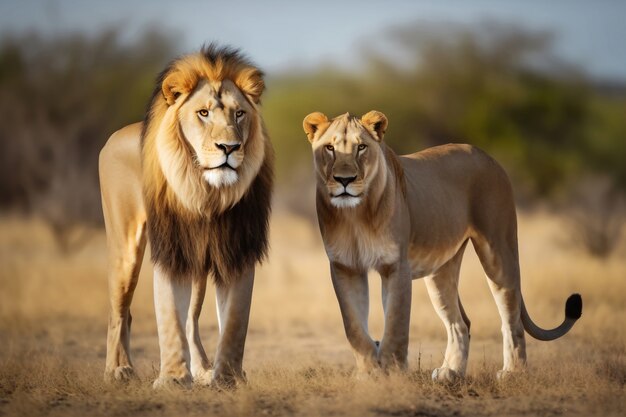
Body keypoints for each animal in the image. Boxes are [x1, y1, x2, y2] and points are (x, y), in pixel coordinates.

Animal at [99, 45, 270, 386]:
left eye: (239, 113)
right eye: (203, 113)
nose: (229, 147)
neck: (208, 193)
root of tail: (113, 137)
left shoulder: (236, 249)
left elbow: (234, 321)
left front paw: (228, 377)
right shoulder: (171, 249)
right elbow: (169, 317)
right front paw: (173, 381)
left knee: (190, 318)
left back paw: (203, 369)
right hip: (125, 247)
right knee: (119, 311)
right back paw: (118, 370)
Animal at [302, 109, 580, 380]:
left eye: (361, 147)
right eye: (330, 148)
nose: (344, 180)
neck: (355, 214)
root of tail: (486, 155)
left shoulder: (396, 266)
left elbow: (396, 325)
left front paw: (392, 372)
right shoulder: (345, 267)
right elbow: (354, 327)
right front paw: (368, 373)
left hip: (498, 250)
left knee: (511, 317)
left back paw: (513, 372)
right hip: (441, 269)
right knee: (460, 323)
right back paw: (451, 373)